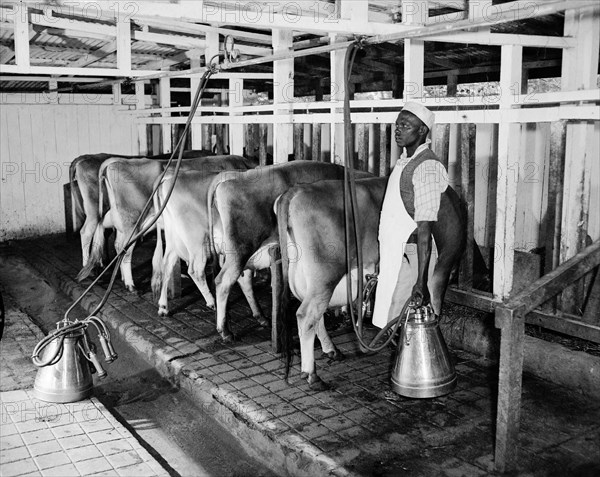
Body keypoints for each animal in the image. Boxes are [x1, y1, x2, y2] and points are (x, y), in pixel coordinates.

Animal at [150, 165, 262, 318]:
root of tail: (171, 175)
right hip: (197, 239)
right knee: (195, 270)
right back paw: (211, 301)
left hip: (174, 236)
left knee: (167, 263)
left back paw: (163, 307)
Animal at [209, 160, 372, 342]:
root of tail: (231, 177)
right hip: (241, 250)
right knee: (223, 281)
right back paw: (225, 330)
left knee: (243, 279)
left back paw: (260, 317)